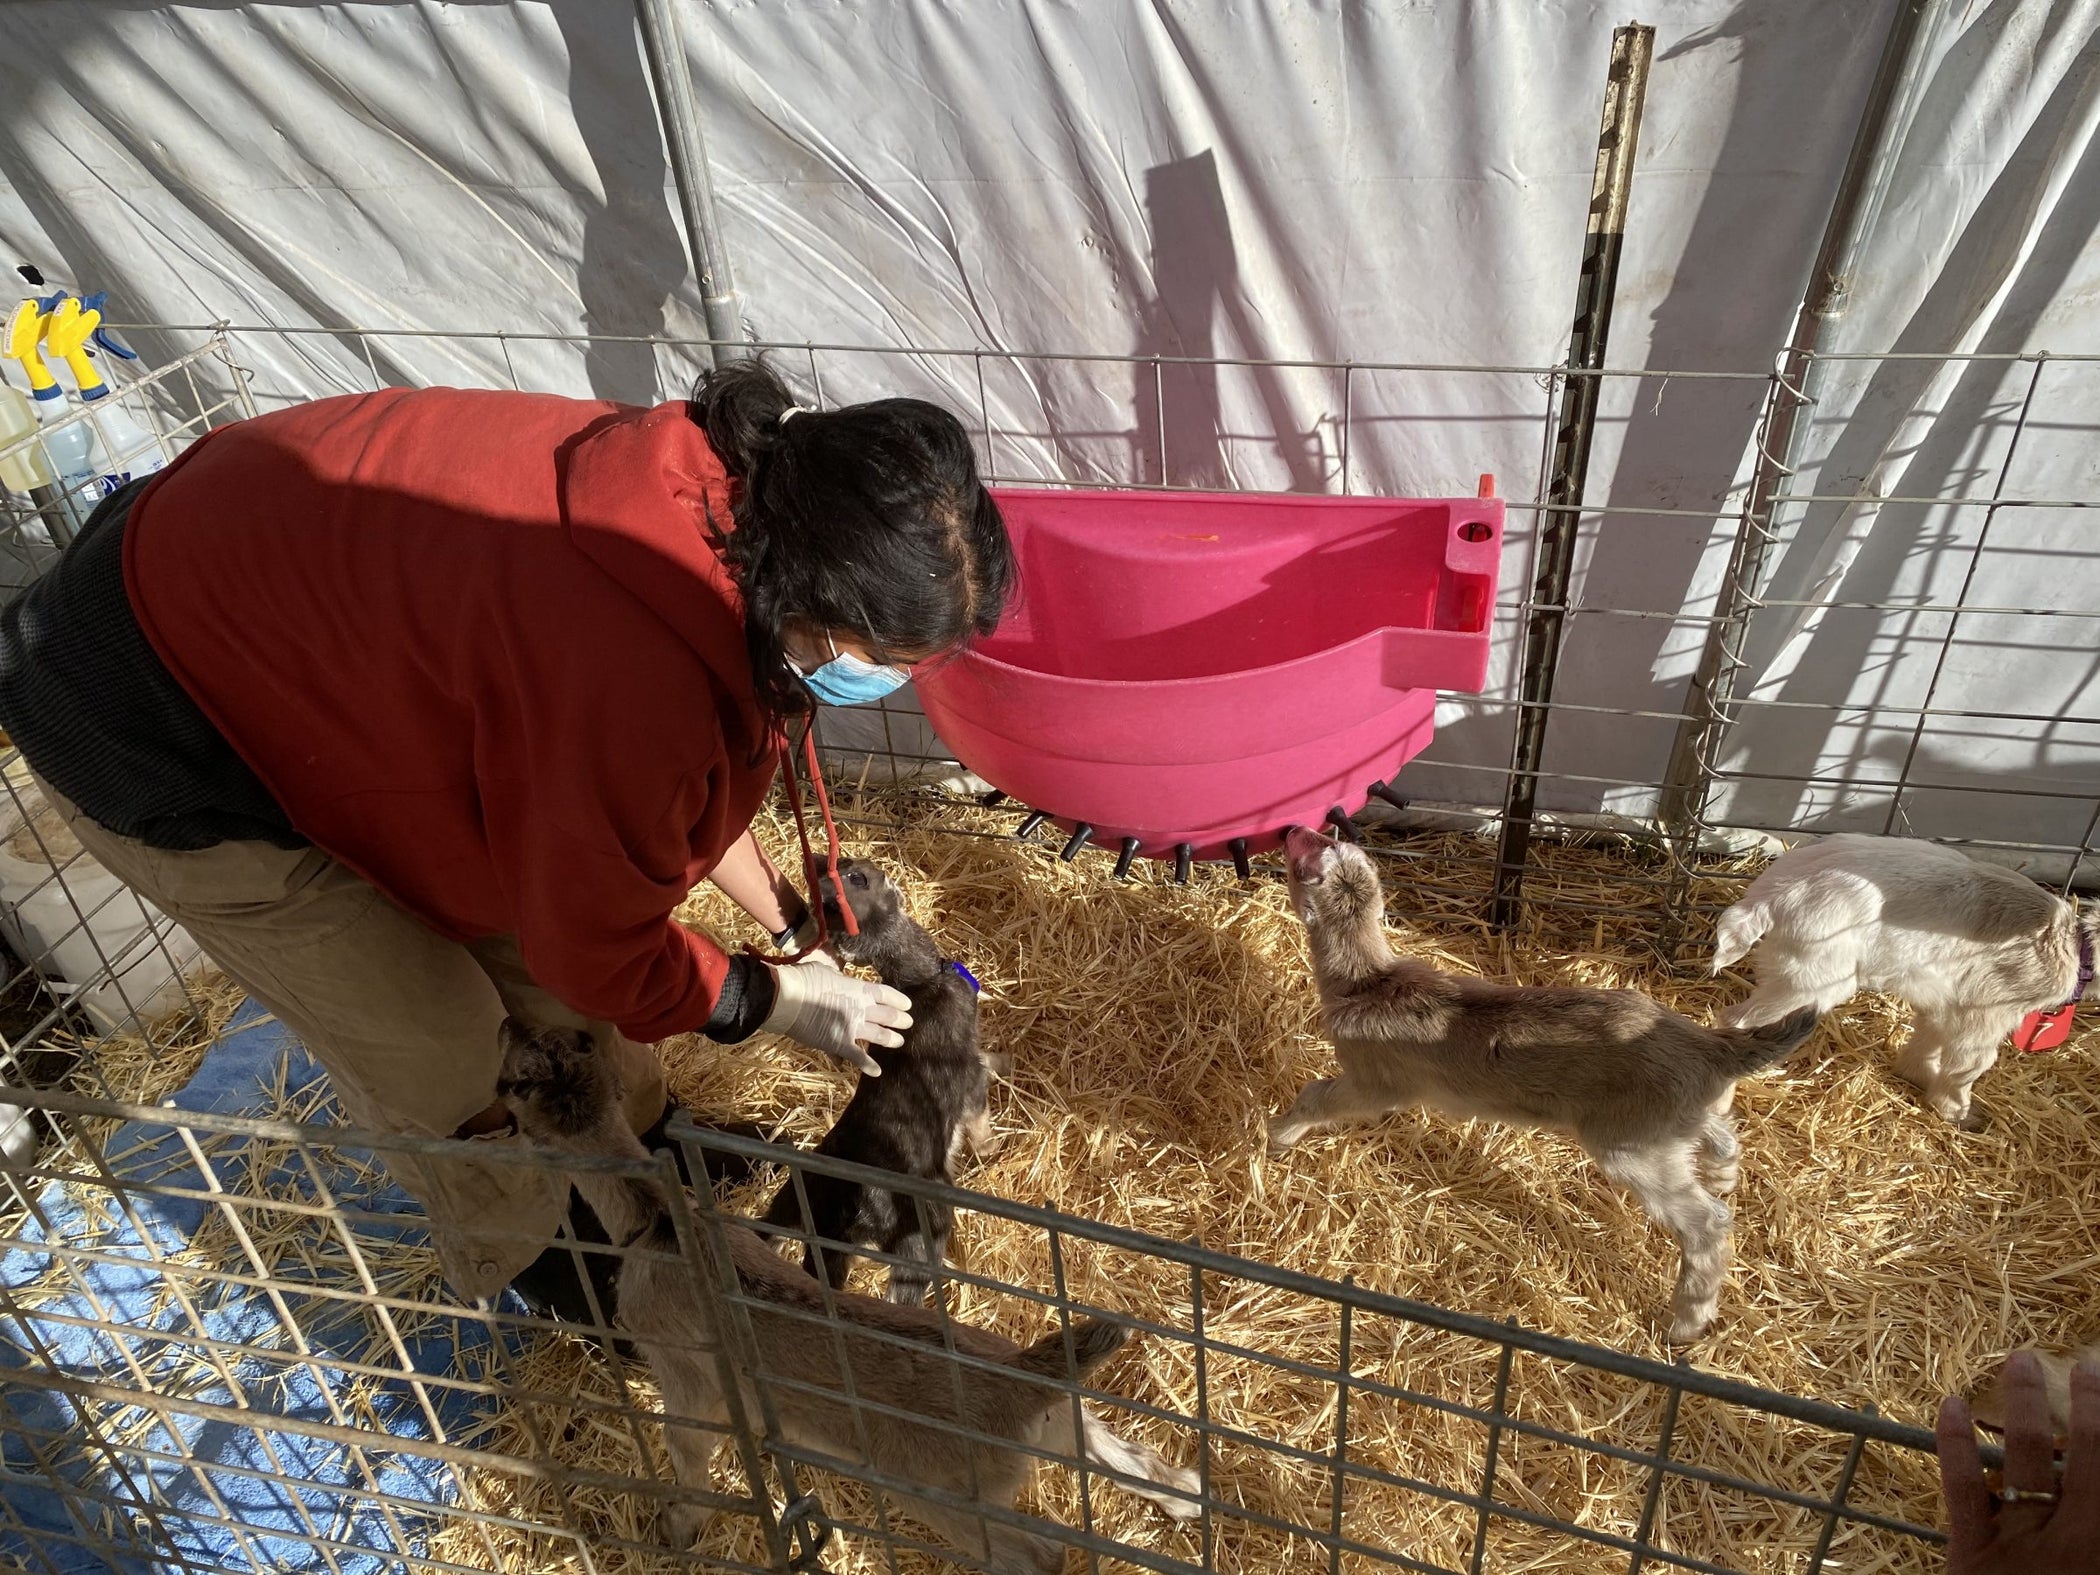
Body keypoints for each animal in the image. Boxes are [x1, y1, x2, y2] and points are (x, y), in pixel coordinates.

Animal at [764, 865, 999, 1310]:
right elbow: (980, 1119)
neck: (921, 982)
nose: (818, 867)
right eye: (859, 877)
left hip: (792, 1200)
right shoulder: (971, 1079)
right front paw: (990, 1152)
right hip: (918, 1240)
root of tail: (851, 1211)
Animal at [1260, 827, 1822, 1344]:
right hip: (1674, 1118)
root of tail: (1709, 1047)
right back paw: (1724, 1176)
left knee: (1707, 1222)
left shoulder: (1372, 1081)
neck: (1368, 982)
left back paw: (1685, 1322)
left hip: (1633, 1146)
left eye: (1299, 859)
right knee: (1720, 1134)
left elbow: (1317, 1097)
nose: (1294, 829)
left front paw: (1277, 1136)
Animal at [1713, 831, 2091, 1125]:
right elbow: (1969, 1063)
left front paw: (1917, 1075)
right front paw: (1961, 1114)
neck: (2074, 944)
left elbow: (1927, 1041)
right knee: (1738, 1021)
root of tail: (1767, 897)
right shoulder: (1987, 1009)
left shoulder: (1945, 1002)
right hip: (1810, 978)